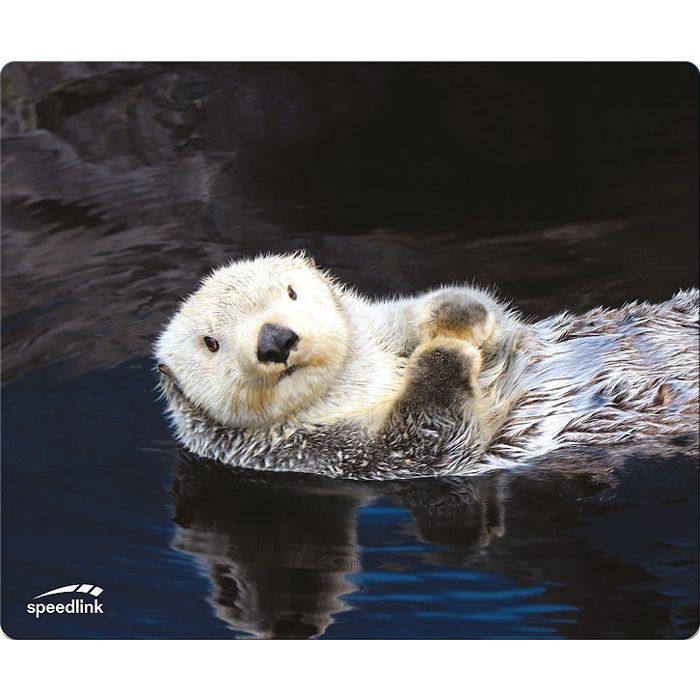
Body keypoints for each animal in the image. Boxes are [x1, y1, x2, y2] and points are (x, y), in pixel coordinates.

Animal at [155, 252, 699, 479]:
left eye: (290, 292)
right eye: (210, 343)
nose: (275, 339)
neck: (356, 380)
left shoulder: (384, 326)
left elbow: (484, 312)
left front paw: (455, 318)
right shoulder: (329, 454)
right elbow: (430, 436)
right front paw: (446, 352)